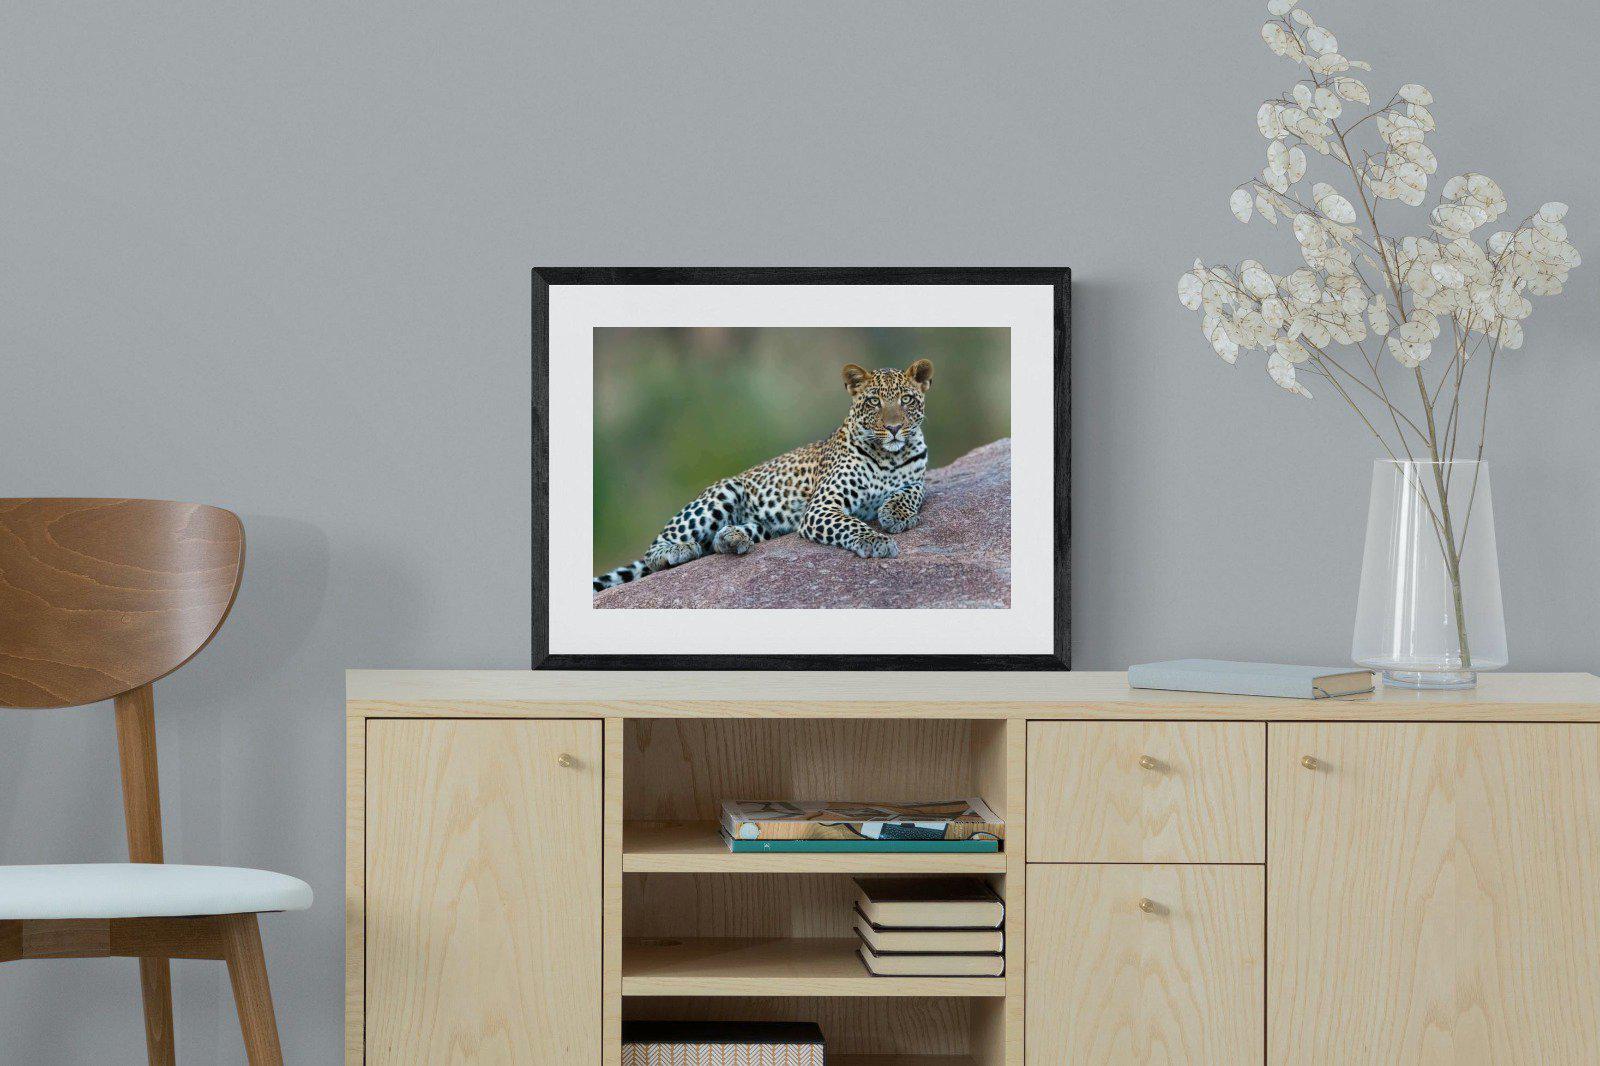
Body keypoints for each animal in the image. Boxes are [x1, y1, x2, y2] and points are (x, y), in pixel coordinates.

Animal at [593, 359, 934, 593]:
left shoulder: (917, 478)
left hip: (767, 525)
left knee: (721, 540)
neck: (890, 455)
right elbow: (851, 524)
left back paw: (732, 538)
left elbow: (912, 492)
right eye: (874, 401)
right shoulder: (821, 507)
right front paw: (877, 540)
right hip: (723, 491)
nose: (894, 428)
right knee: (655, 549)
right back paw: (680, 550)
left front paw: (895, 514)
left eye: (906, 399)